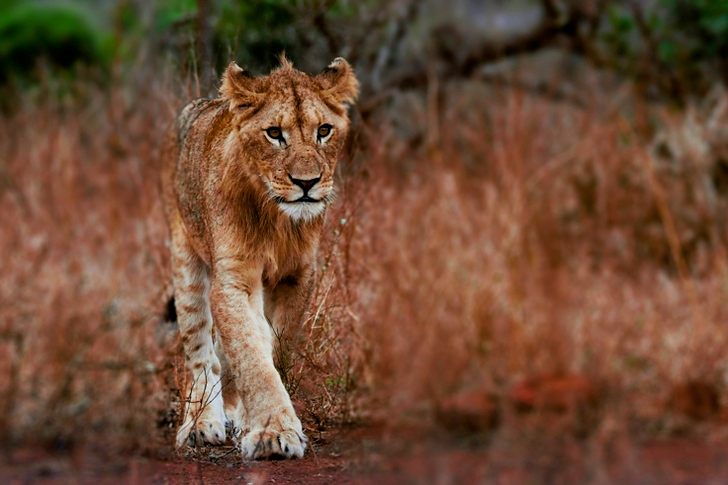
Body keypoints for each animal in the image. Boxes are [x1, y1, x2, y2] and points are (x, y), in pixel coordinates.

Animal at [160, 57, 358, 459]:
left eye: (324, 130)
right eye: (274, 133)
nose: (306, 183)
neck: (277, 220)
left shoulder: (299, 276)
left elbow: (273, 347)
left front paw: (257, 422)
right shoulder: (233, 279)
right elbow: (251, 353)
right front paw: (272, 432)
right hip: (186, 262)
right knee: (201, 354)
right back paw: (201, 423)